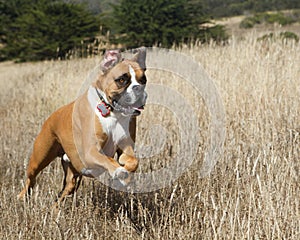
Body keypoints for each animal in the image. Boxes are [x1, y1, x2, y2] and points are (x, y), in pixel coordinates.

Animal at [18, 47, 147, 202]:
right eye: (122, 80)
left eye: (143, 80)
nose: (138, 88)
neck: (110, 110)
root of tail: (50, 117)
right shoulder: (90, 152)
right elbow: (108, 159)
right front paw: (119, 171)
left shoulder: (126, 147)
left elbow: (133, 161)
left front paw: (124, 171)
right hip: (39, 158)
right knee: (30, 179)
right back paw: (21, 197)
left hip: (71, 181)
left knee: (61, 195)